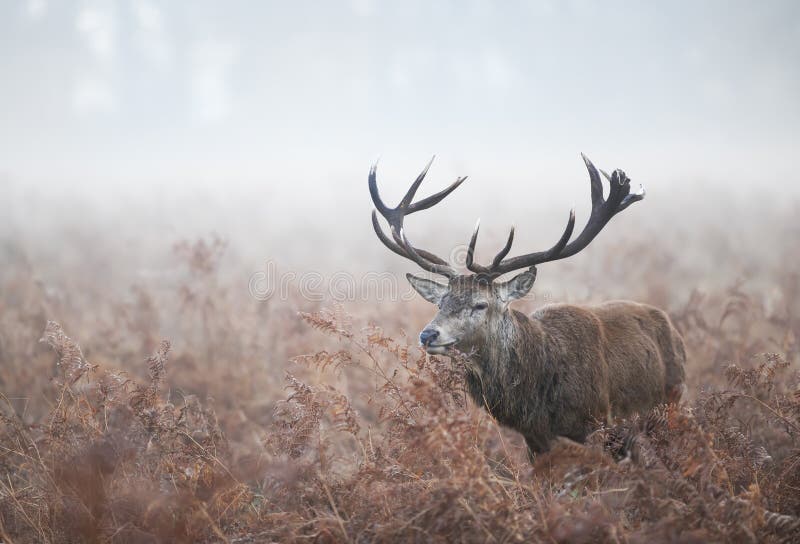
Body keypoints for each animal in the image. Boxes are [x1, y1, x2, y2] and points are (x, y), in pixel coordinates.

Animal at [368, 156, 688, 454]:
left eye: (481, 305)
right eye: (441, 303)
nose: (428, 335)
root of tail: (675, 331)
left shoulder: (596, 423)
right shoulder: (534, 439)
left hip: (669, 404)